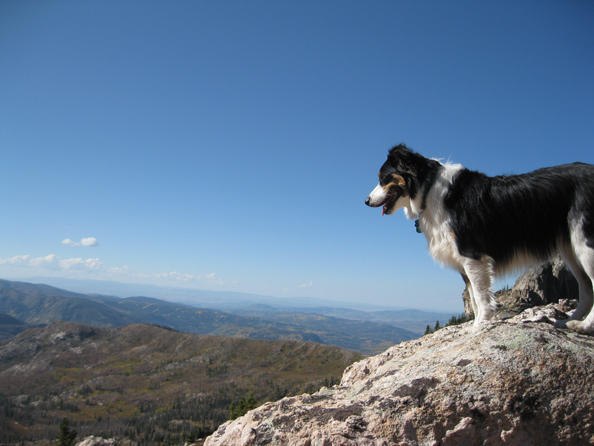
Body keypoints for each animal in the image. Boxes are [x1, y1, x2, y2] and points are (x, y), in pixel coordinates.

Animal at [364, 145, 592, 332]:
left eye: (383, 178)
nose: (366, 201)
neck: (427, 189)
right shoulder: (463, 261)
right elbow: (473, 296)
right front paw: (476, 323)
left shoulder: (471, 254)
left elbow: (481, 296)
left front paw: (480, 324)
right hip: (570, 249)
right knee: (586, 288)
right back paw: (570, 321)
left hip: (586, 244)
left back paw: (585, 326)